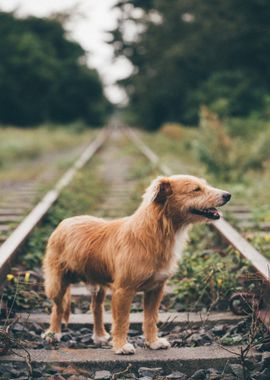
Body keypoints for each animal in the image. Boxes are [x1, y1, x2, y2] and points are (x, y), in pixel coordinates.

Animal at [42, 175, 230, 354]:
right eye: (196, 189)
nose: (228, 195)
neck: (156, 232)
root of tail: (64, 222)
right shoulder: (123, 290)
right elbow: (122, 321)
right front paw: (121, 346)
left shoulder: (156, 289)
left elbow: (150, 318)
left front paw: (153, 342)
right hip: (57, 282)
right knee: (57, 307)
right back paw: (53, 333)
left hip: (99, 283)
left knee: (96, 307)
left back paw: (100, 335)